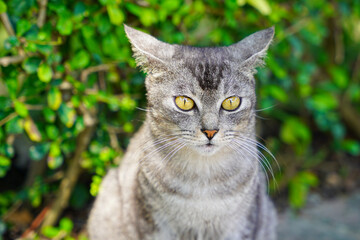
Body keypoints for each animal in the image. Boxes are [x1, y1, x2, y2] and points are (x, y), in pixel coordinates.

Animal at [86, 24, 276, 240]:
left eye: (231, 102)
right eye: (184, 102)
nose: (210, 131)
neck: (203, 181)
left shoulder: (241, 226)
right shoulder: (152, 225)